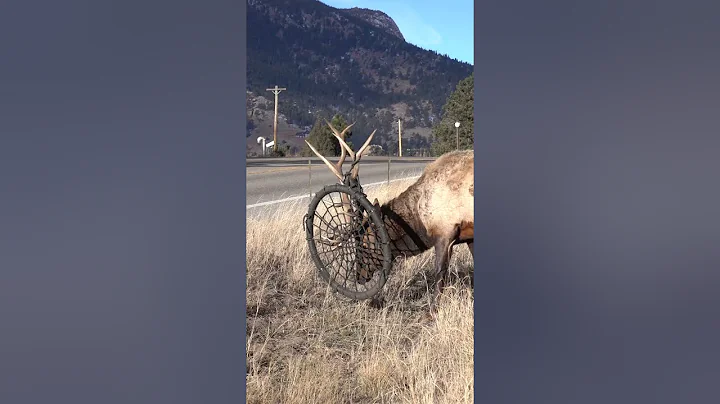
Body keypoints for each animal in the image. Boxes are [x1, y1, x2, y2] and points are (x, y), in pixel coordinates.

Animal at [305, 121, 474, 319]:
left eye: (364, 243)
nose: (358, 276)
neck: (419, 219)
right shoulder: (468, 236)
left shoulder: (445, 233)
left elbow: (439, 275)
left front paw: (432, 311)